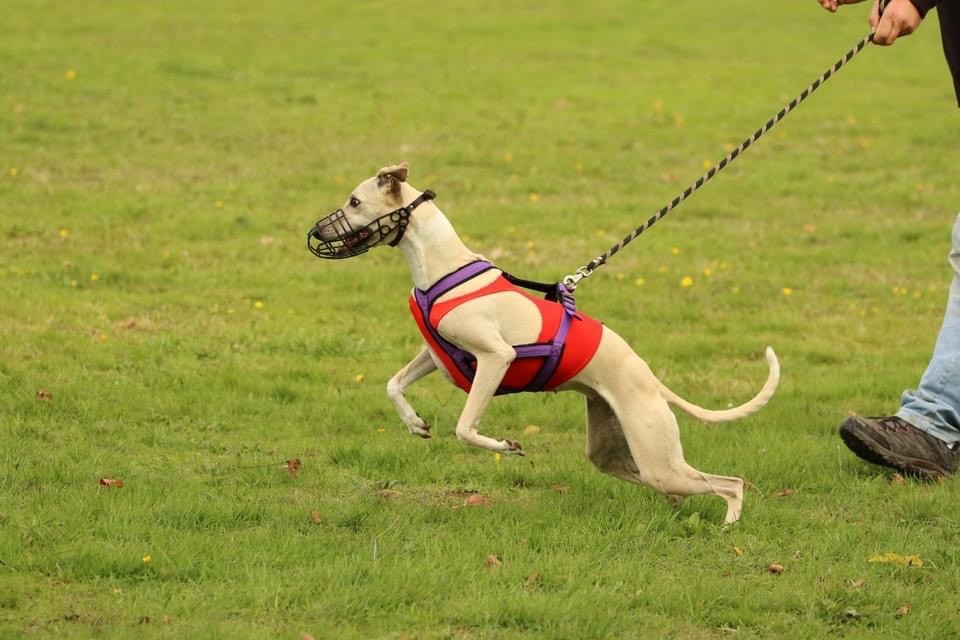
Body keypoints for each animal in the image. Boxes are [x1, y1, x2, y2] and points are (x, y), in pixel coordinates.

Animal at [308, 162, 779, 524]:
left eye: (354, 202)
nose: (315, 231)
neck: (443, 266)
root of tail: (649, 378)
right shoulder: (435, 353)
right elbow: (393, 384)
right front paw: (415, 424)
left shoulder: (495, 358)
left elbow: (465, 428)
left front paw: (506, 446)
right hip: (617, 449)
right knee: (672, 483)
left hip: (658, 458)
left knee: (729, 484)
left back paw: (728, 528)